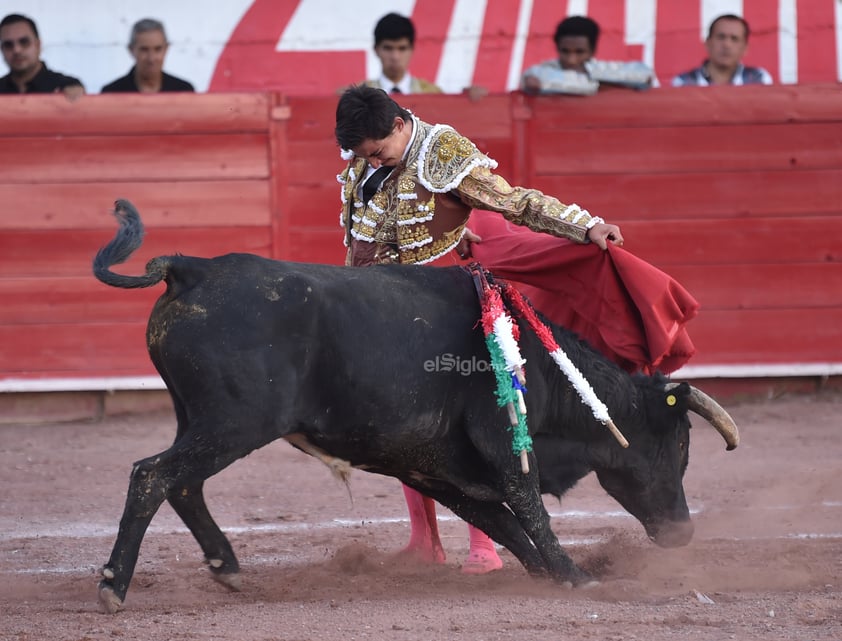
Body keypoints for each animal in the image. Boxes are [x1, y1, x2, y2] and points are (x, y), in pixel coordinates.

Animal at [90, 201, 736, 616]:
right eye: (680, 443)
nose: (683, 532)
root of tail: (191, 268)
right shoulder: (504, 446)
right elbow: (528, 509)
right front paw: (575, 577)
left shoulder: (434, 466)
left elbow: (500, 520)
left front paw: (545, 574)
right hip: (235, 423)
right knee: (153, 475)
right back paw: (114, 587)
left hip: (199, 419)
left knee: (182, 481)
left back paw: (224, 566)